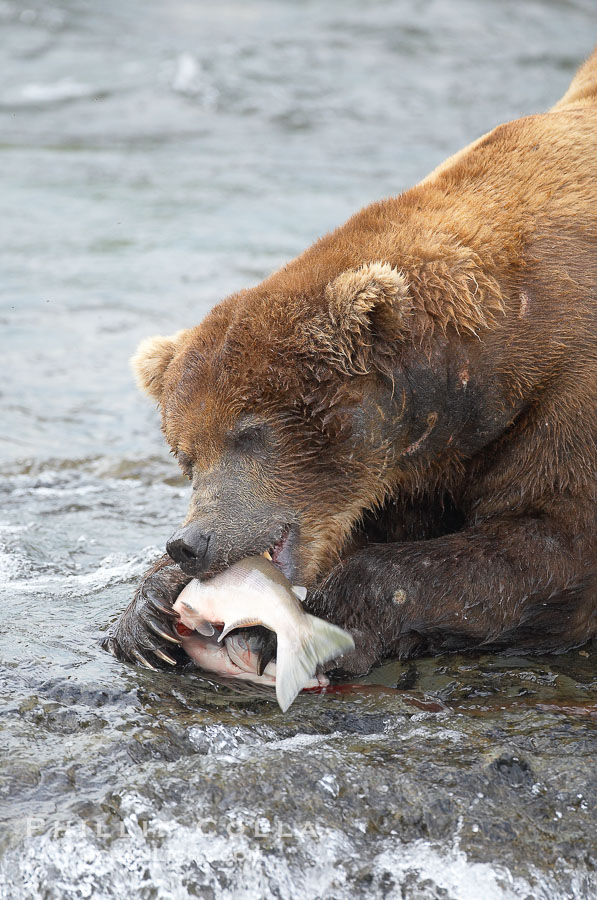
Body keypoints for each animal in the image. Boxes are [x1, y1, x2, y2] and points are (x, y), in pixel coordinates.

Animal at [103, 48, 597, 677]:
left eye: (250, 432)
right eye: (185, 455)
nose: (191, 542)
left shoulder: (565, 397)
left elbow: (550, 543)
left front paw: (284, 628)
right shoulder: (413, 468)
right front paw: (148, 615)